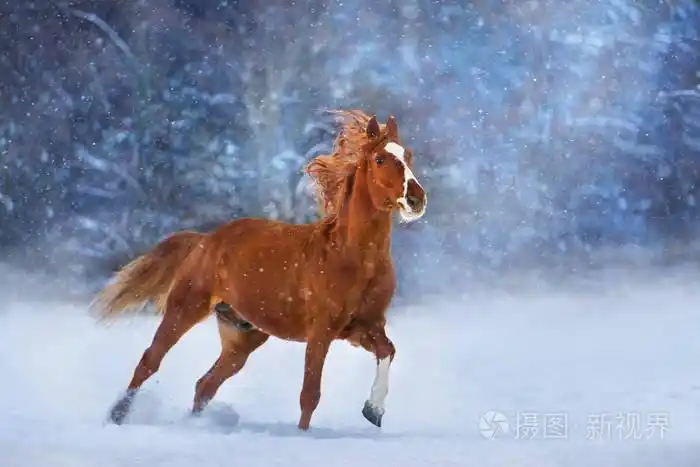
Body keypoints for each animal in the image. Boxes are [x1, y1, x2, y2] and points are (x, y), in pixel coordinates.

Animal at [92, 110, 428, 431]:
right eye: (380, 159)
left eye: (408, 155)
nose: (416, 199)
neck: (353, 256)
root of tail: (205, 240)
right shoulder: (322, 331)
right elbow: (310, 394)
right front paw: (303, 435)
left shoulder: (364, 325)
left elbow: (388, 350)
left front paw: (373, 411)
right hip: (185, 309)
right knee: (150, 361)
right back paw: (117, 417)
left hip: (242, 338)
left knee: (206, 384)